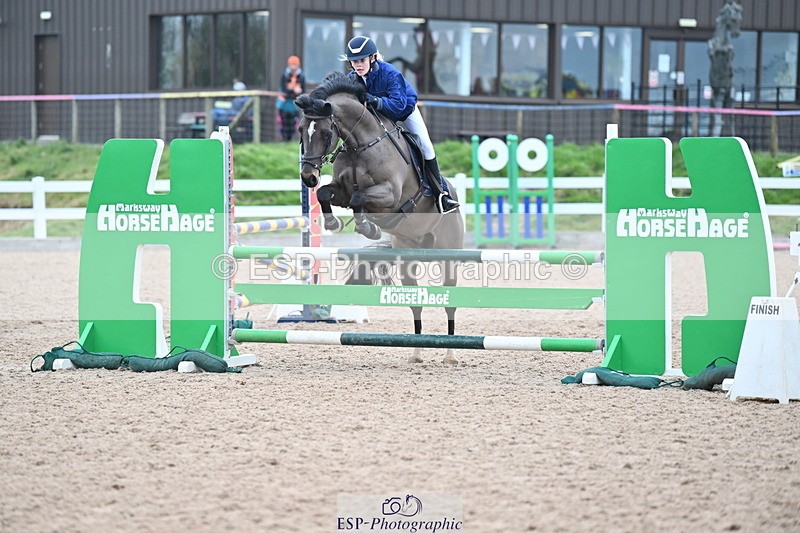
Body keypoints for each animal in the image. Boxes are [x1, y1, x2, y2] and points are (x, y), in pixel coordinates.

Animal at [295, 71, 465, 364]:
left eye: (326, 133)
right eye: (300, 131)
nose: (308, 177)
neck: (358, 145)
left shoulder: (390, 195)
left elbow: (359, 198)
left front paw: (367, 227)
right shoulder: (340, 191)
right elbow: (327, 194)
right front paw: (334, 223)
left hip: (449, 258)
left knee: (449, 304)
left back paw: (450, 355)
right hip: (408, 259)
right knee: (415, 303)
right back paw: (416, 353)